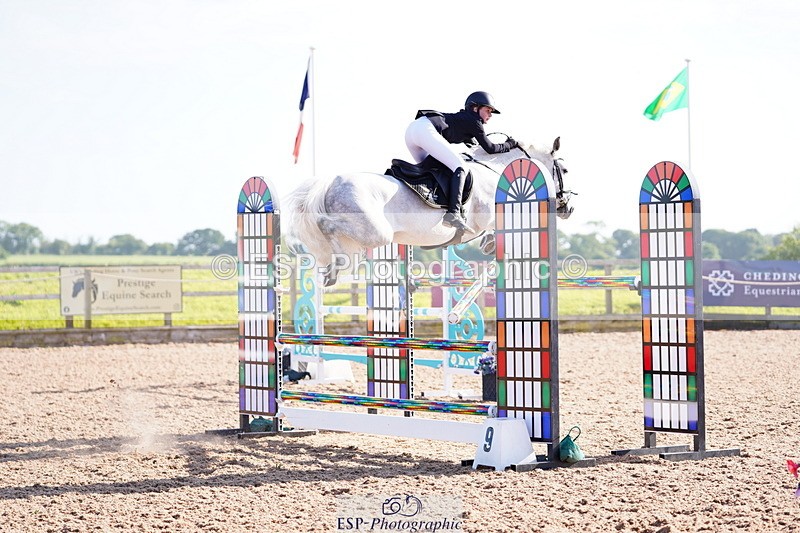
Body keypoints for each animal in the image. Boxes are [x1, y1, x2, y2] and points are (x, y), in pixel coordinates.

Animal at [284, 136, 572, 286]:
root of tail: (330, 182)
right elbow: (490, 229)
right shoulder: (487, 215)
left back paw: (331, 270)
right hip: (375, 233)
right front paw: (490, 244)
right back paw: (335, 267)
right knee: (327, 224)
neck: (493, 169)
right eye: (565, 170)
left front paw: (489, 244)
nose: (568, 208)